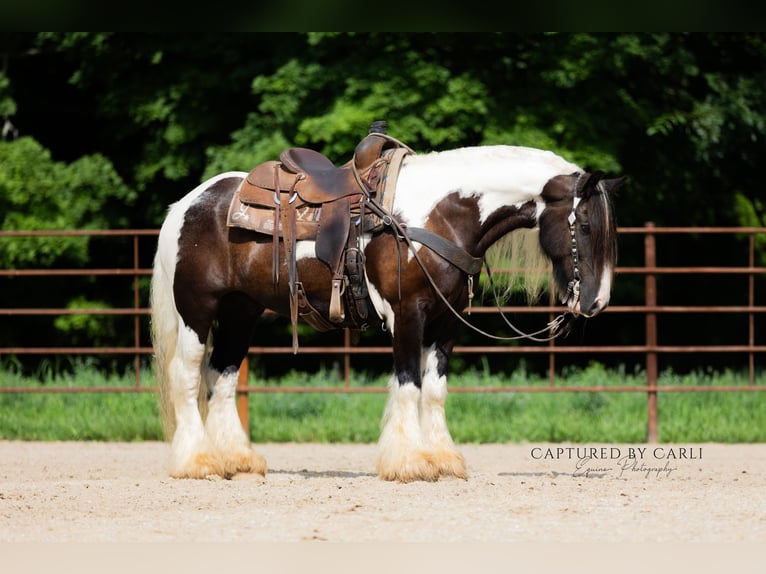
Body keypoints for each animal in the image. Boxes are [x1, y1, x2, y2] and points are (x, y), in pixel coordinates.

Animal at [150, 141, 624, 483]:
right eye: (584, 226)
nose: (596, 302)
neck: (438, 215)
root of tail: (188, 204)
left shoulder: (445, 322)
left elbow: (435, 390)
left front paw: (443, 458)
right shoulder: (408, 314)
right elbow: (409, 384)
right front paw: (410, 462)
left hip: (240, 312)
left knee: (223, 376)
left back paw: (237, 460)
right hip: (196, 309)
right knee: (187, 375)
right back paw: (197, 462)